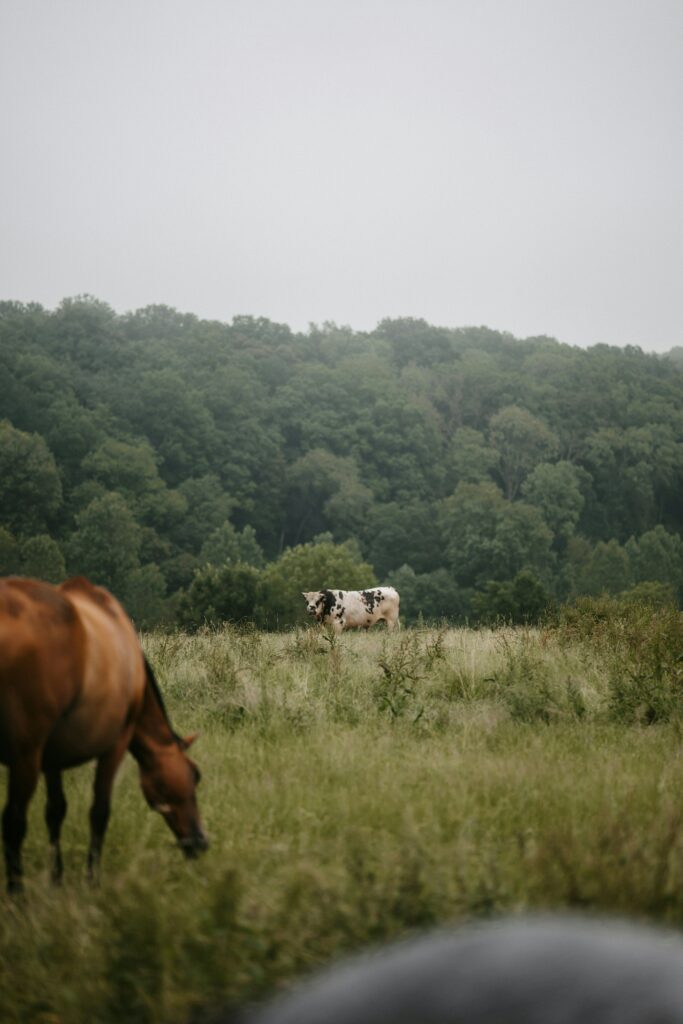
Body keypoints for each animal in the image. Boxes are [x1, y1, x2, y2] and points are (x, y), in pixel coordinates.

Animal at [0, 581, 208, 892]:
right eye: (194, 774)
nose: (199, 842)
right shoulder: (116, 743)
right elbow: (99, 812)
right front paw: (92, 880)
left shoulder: (51, 757)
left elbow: (55, 811)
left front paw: (56, 879)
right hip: (25, 755)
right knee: (13, 823)